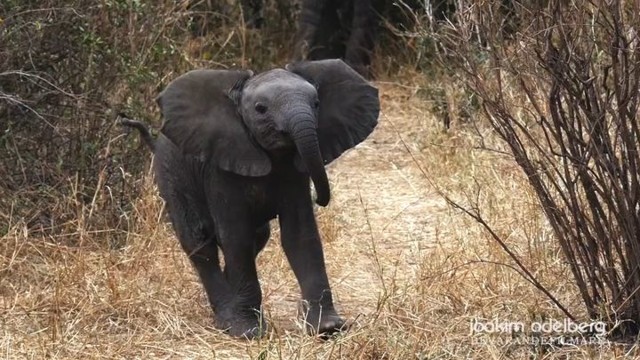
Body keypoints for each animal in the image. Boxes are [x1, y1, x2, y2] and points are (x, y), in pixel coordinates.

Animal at [120, 59, 380, 340]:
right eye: (260, 109)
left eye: (317, 103)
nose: (319, 199)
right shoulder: (220, 168)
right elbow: (237, 238)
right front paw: (247, 331)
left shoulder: (295, 171)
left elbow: (300, 235)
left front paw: (329, 328)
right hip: (171, 177)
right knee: (199, 242)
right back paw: (226, 316)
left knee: (258, 236)